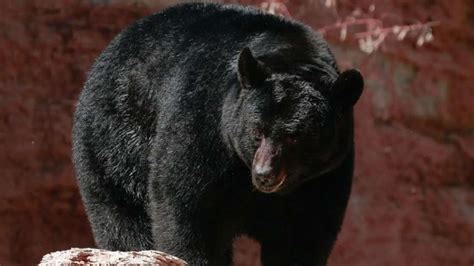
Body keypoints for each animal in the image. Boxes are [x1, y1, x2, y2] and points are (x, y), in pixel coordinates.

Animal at [73, 2, 362, 266]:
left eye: (296, 136)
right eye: (257, 131)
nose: (265, 175)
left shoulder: (325, 175)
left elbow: (305, 233)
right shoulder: (204, 124)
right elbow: (187, 209)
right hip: (115, 138)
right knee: (120, 213)